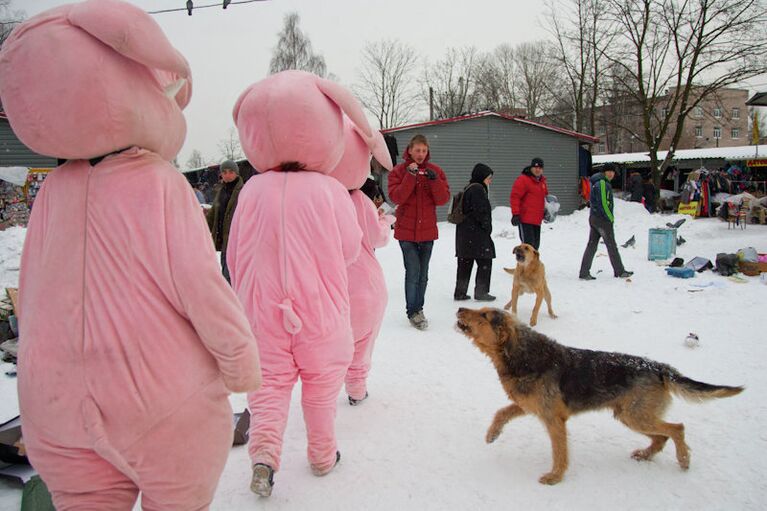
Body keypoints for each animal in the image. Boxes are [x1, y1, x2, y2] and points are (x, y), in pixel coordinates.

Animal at [456, 306, 744, 486]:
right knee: (662, 436)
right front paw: (492, 434)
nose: (459, 309)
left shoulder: (554, 419)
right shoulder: (531, 405)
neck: (521, 355)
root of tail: (660, 367)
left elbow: (560, 451)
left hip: (636, 415)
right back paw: (645, 455)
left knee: (677, 428)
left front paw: (555, 477)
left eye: (484, 314)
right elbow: (502, 412)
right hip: (629, 415)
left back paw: (683, 460)